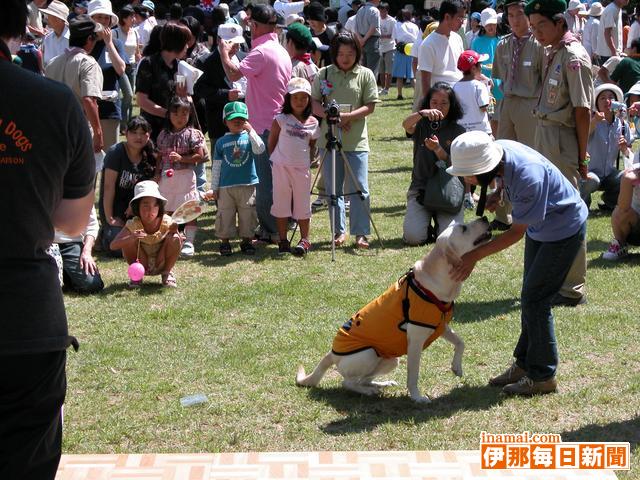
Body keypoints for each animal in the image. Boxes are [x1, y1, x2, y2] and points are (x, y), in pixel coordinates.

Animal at [298, 217, 492, 402]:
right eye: (463, 229)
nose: (484, 217)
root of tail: (331, 353)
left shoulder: (440, 326)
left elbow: (460, 342)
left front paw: (457, 367)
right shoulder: (416, 340)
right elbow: (413, 375)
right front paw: (417, 397)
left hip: (391, 360)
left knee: (363, 379)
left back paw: (381, 384)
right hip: (369, 354)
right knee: (347, 382)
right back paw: (369, 391)